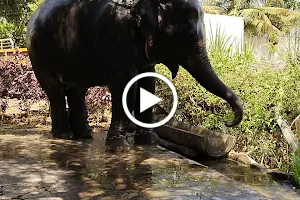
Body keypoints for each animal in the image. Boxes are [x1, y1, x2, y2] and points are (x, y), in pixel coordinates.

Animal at [26, 0, 244, 151]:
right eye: (188, 35)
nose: (228, 123)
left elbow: (148, 82)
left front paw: (149, 142)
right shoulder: (115, 33)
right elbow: (124, 83)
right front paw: (120, 148)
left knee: (77, 89)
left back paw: (85, 135)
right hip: (38, 53)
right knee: (55, 89)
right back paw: (65, 136)